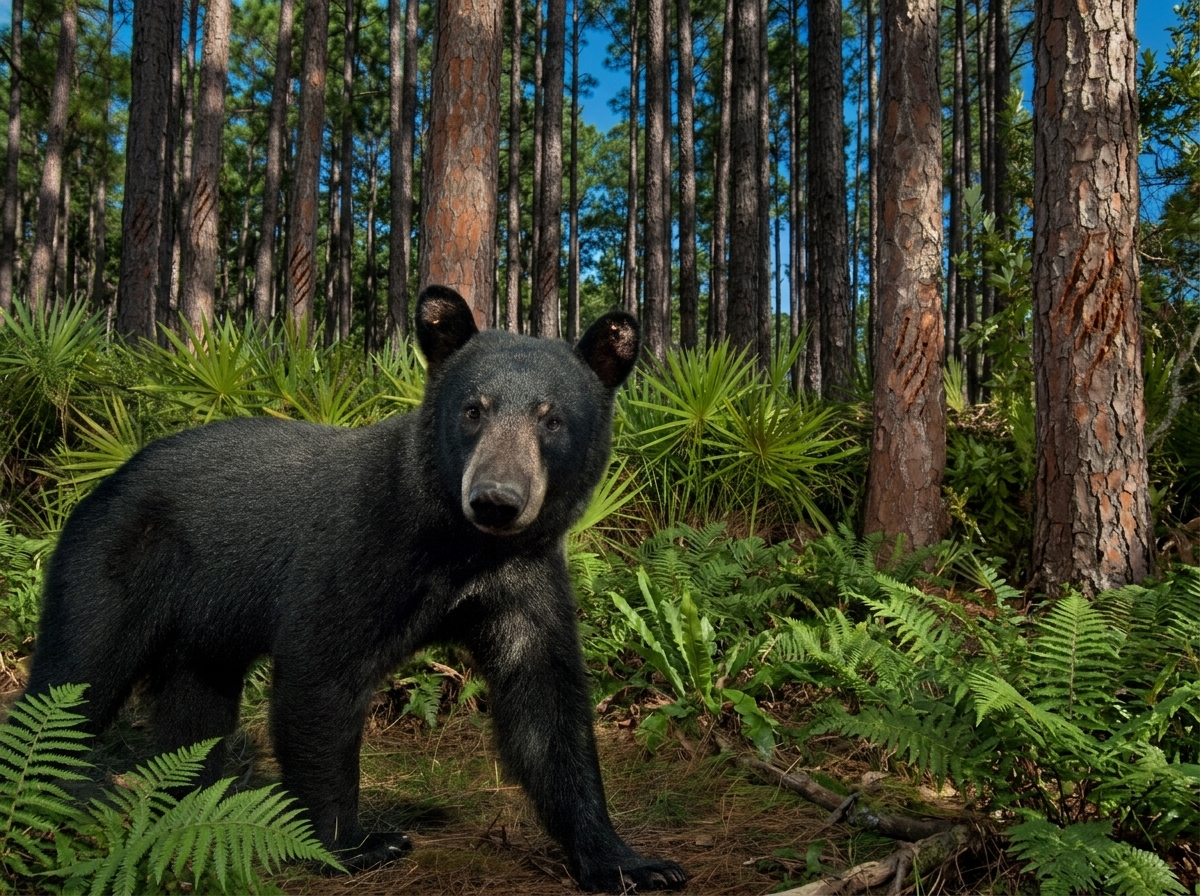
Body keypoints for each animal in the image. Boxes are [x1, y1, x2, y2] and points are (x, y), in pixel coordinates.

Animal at [24, 285, 686, 893]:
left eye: (551, 418)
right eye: (473, 409)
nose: (497, 499)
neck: (459, 546)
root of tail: (105, 481)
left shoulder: (524, 578)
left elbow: (546, 705)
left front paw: (629, 862)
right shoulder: (356, 548)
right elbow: (322, 673)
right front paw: (353, 843)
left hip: (203, 631)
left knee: (194, 711)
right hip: (109, 567)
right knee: (75, 676)